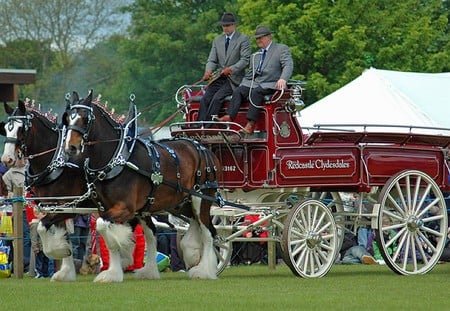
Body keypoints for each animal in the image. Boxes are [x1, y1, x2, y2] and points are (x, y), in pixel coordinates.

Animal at [0, 100, 93, 282]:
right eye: (7, 128)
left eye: (21, 128)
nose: (7, 159)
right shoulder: (53, 207)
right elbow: (62, 234)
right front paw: (65, 270)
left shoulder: (67, 207)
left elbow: (46, 231)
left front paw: (59, 252)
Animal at [62, 90, 221, 282]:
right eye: (67, 119)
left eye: (86, 118)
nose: (70, 147)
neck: (116, 159)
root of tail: (204, 149)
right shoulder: (104, 208)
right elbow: (106, 235)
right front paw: (114, 271)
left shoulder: (125, 208)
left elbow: (104, 228)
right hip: (180, 204)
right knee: (161, 233)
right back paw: (157, 268)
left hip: (201, 199)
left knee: (208, 233)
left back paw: (204, 270)